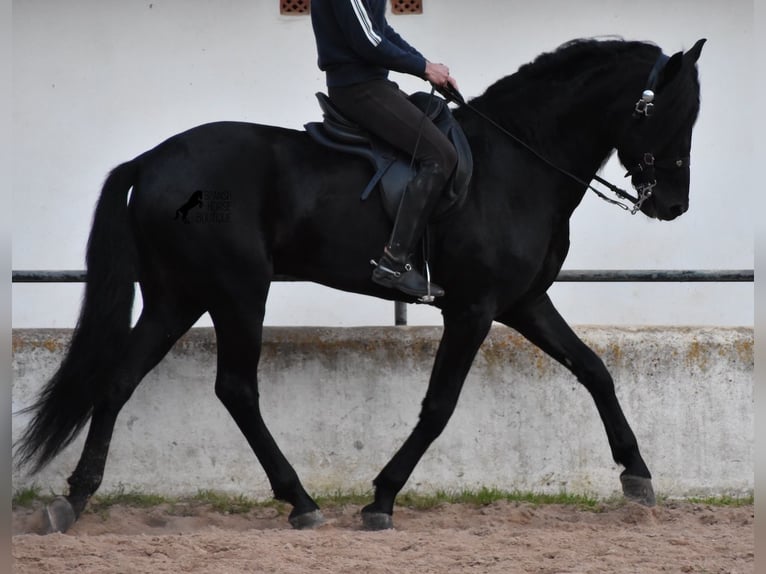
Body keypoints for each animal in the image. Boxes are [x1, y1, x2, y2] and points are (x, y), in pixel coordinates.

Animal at [15, 38, 708, 536]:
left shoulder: (523, 302)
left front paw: (637, 476)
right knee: (236, 388)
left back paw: (75, 500)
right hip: (237, 290)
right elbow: (439, 406)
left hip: (175, 297)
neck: (519, 163)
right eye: (670, 112)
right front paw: (382, 498)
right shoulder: (475, 309)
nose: (673, 205)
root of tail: (151, 161)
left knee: (119, 380)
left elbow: (594, 369)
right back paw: (299, 500)